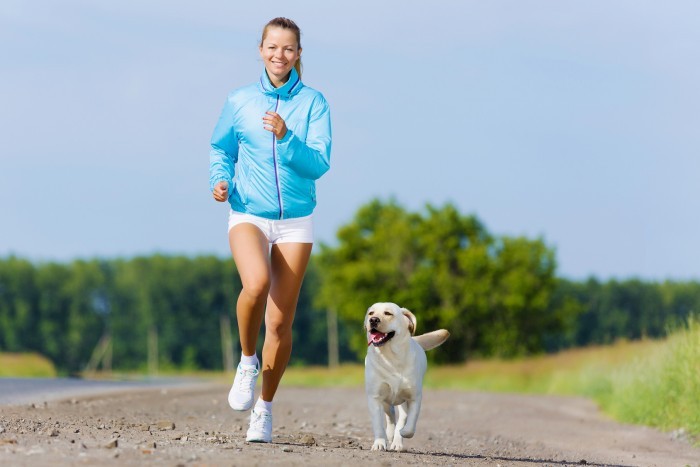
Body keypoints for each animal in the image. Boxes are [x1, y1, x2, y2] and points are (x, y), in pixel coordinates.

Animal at [366, 302, 448, 452]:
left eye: (388, 313)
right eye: (371, 313)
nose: (373, 320)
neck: (391, 358)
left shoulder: (414, 397)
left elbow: (409, 425)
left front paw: (402, 433)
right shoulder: (374, 397)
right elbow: (378, 424)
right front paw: (379, 443)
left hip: (403, 402)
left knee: (401, 418)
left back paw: (397, 442)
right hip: (386, 402)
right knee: (390, 416)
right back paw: (390, 435)